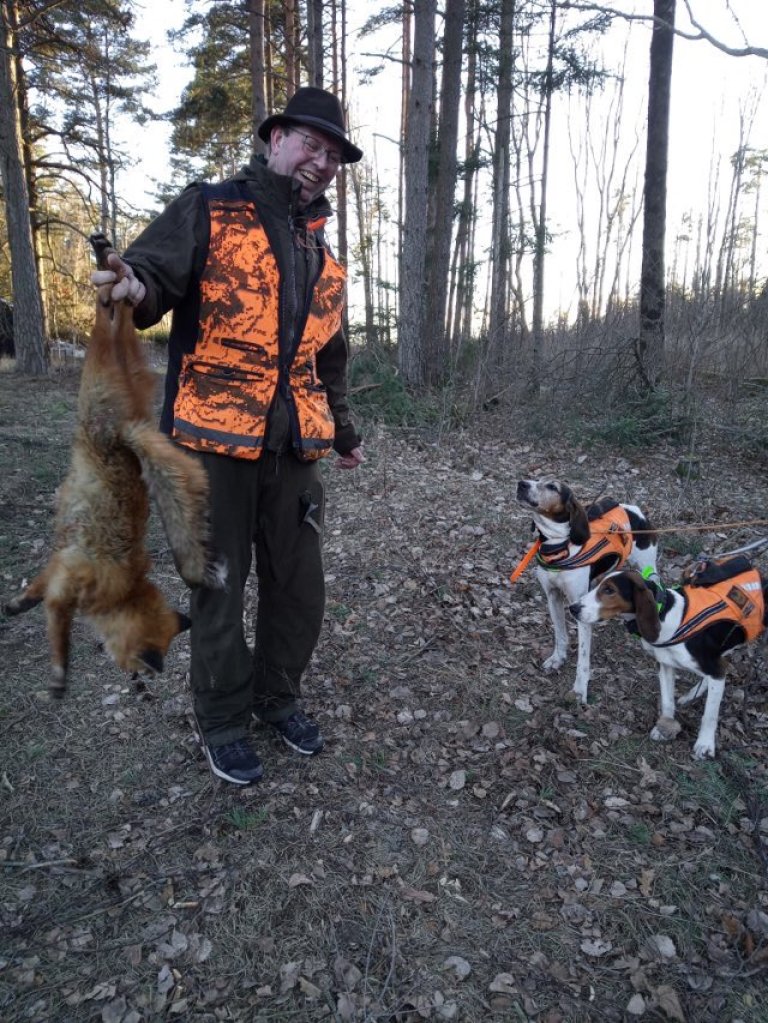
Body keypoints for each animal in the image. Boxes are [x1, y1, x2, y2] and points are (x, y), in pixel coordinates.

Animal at [3, 234, 224, 695]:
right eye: (142, 667)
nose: (141, 687)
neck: (122, 586)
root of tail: (127, 426)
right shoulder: (66, 584)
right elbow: (57, 630)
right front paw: (58, 674)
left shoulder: (58, 568)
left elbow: (37, 591)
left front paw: (17, 605)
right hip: (106, 360)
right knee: (113, 306)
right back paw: (108, 259)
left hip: (111, 356)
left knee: (113, 309)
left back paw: (107, 257)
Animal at [517, 478, 654, 703]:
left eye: (552, 487)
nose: (521, 483)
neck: (558, 546)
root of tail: (634, 509)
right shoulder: (553, 597)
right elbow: (560, 634)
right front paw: (557, 658)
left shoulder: (579, 609)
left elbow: (583, 658)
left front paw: (580, 689)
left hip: (648, 568)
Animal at [572, 560, 768, 761]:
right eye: (595, 584)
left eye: (609, 590)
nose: (573, 608)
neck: (667, 617)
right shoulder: (666, 665)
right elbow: (667, 701)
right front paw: (665, 727)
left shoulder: (714, 669)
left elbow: (710, 714)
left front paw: (705, 744)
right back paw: (691, 695)